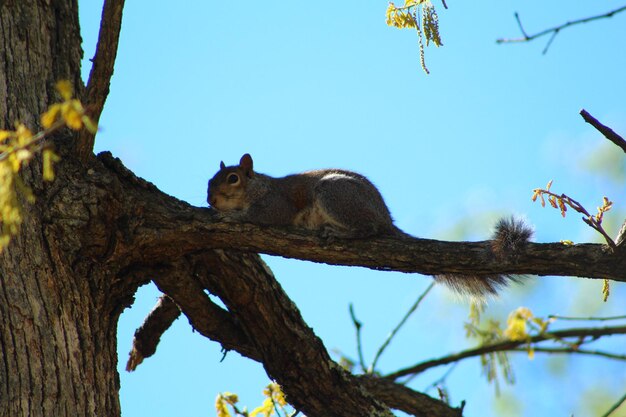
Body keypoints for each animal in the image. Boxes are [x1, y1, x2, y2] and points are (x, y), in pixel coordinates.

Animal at [207, 153, 528, 296]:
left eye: (233, 178)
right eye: (209, 180)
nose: (210, 199)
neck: (257, 187)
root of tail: (386, 218)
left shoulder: (277, 204)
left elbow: (261, 215)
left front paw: (231, 216)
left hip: (334, 193)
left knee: (367, 230)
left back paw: (337, 231)